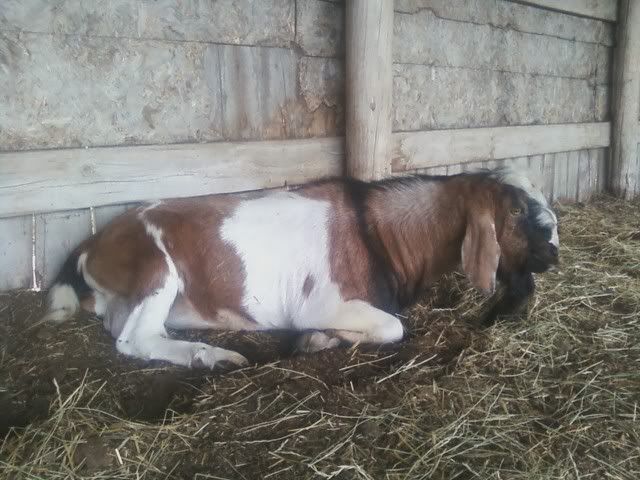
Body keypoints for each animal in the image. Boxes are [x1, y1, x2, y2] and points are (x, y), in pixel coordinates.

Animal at [39, 167, 559, 369]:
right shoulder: (324, 302)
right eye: (515, 210)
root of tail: (91, 243)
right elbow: (393, 327)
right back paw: (215, 357)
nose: (554, 249)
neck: (375, 231)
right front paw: (317, 339)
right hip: (154, 266)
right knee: (134, 340)